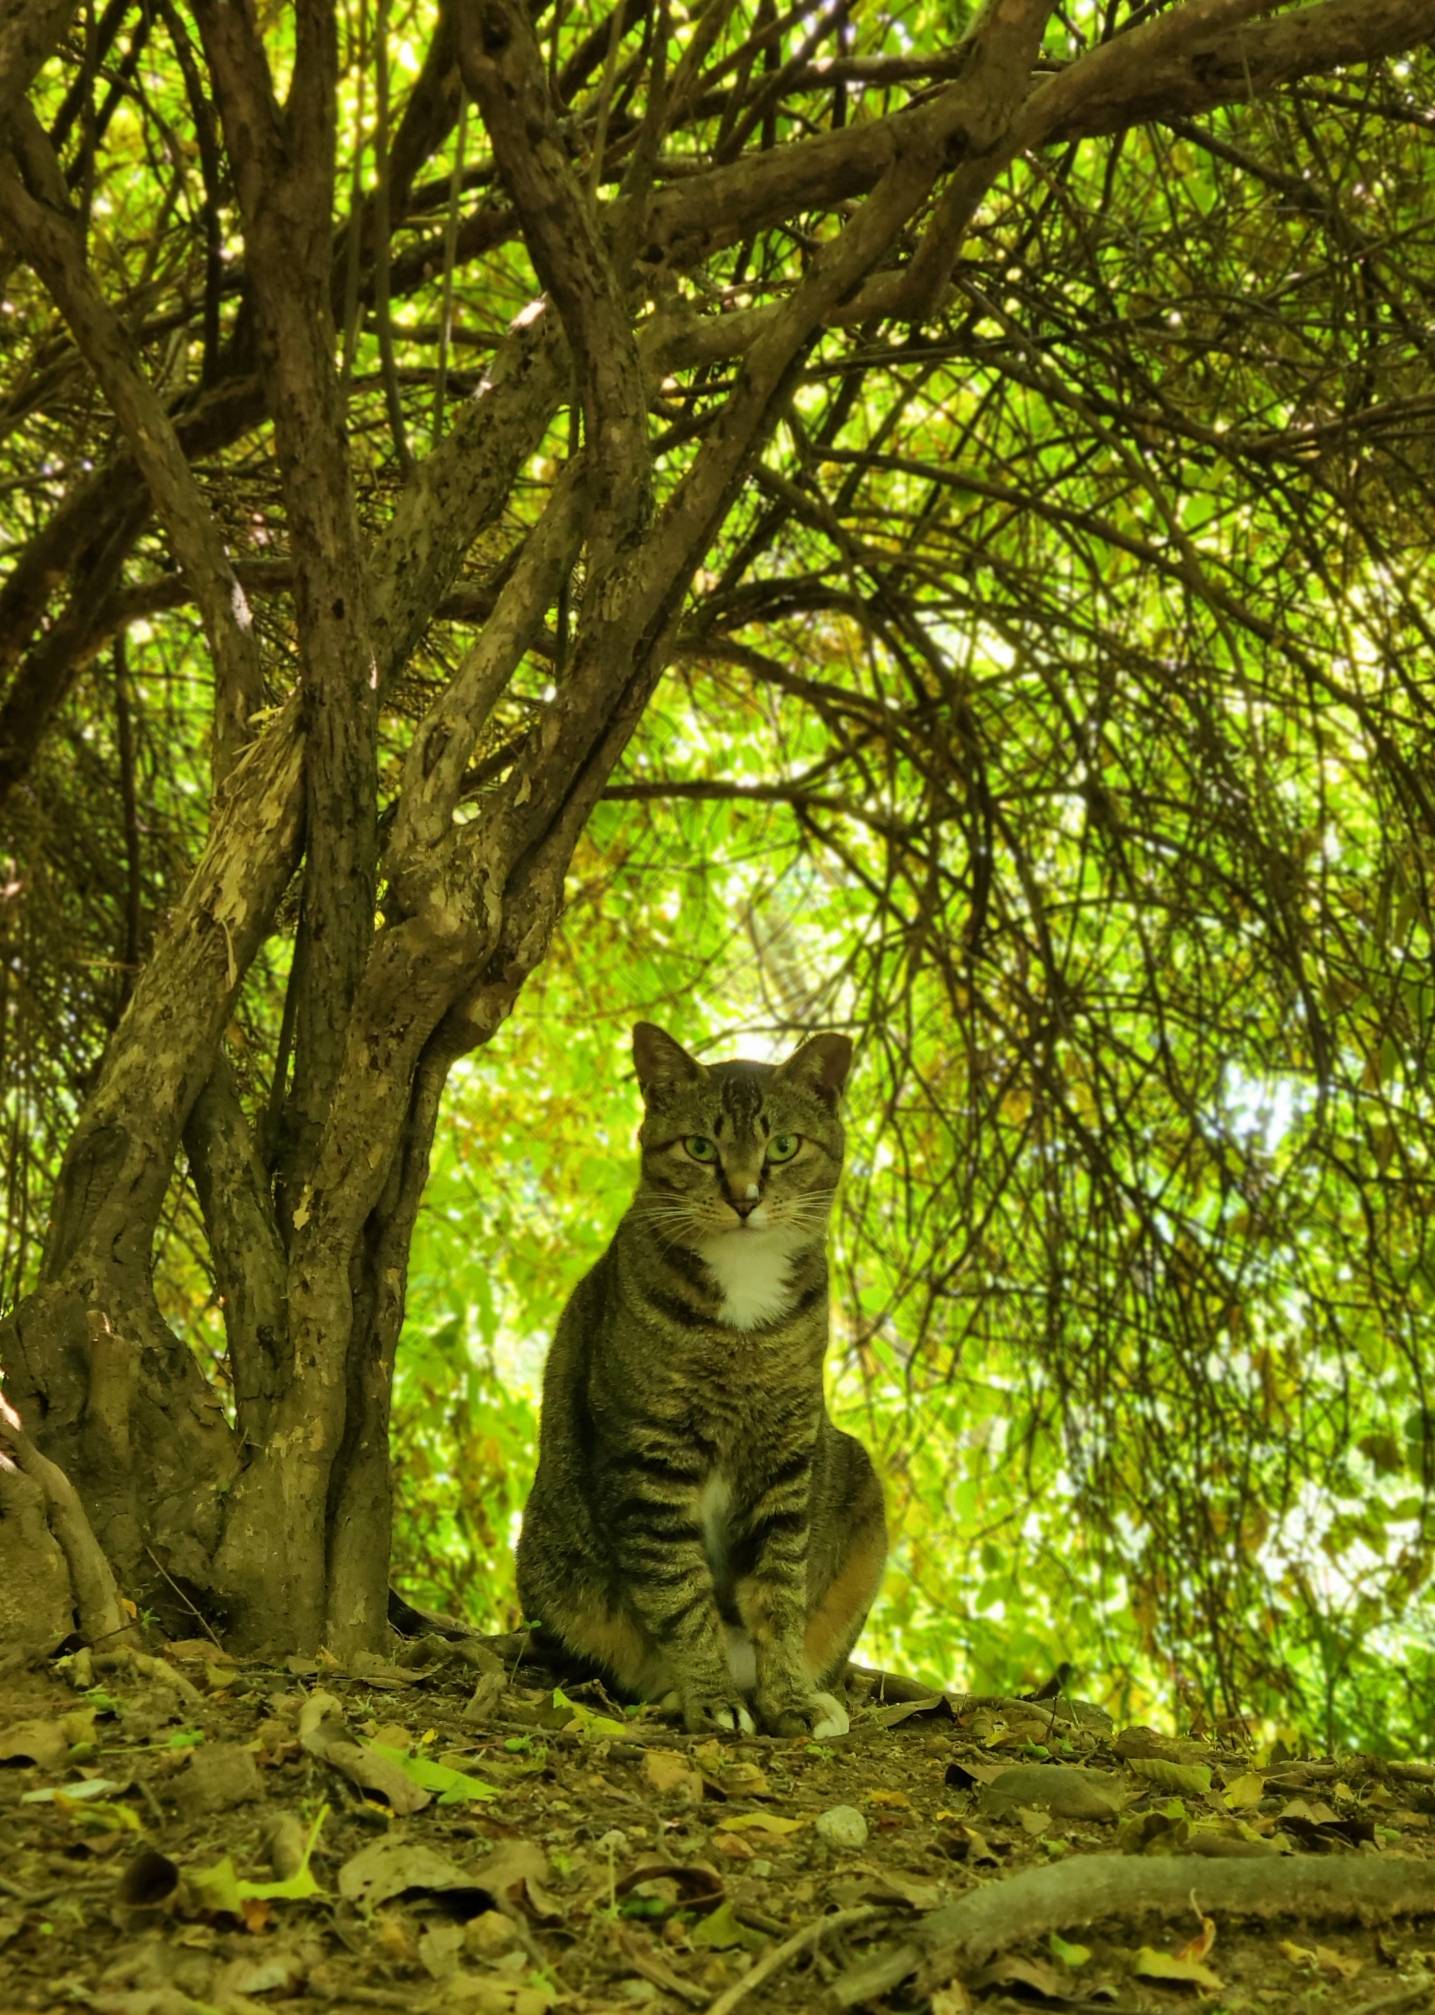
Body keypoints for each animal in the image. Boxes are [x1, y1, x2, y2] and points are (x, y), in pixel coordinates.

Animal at [515, 1023, 886, 1732]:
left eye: (783, 1146)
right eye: (699, 1146)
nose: (743, 1198)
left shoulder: (785, 1452)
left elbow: (780, 1589)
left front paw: (789, 1697)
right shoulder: (649, 1453)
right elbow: (678, 1589)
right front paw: (711, 1697)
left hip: (863, 1497)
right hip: (551, 1564)